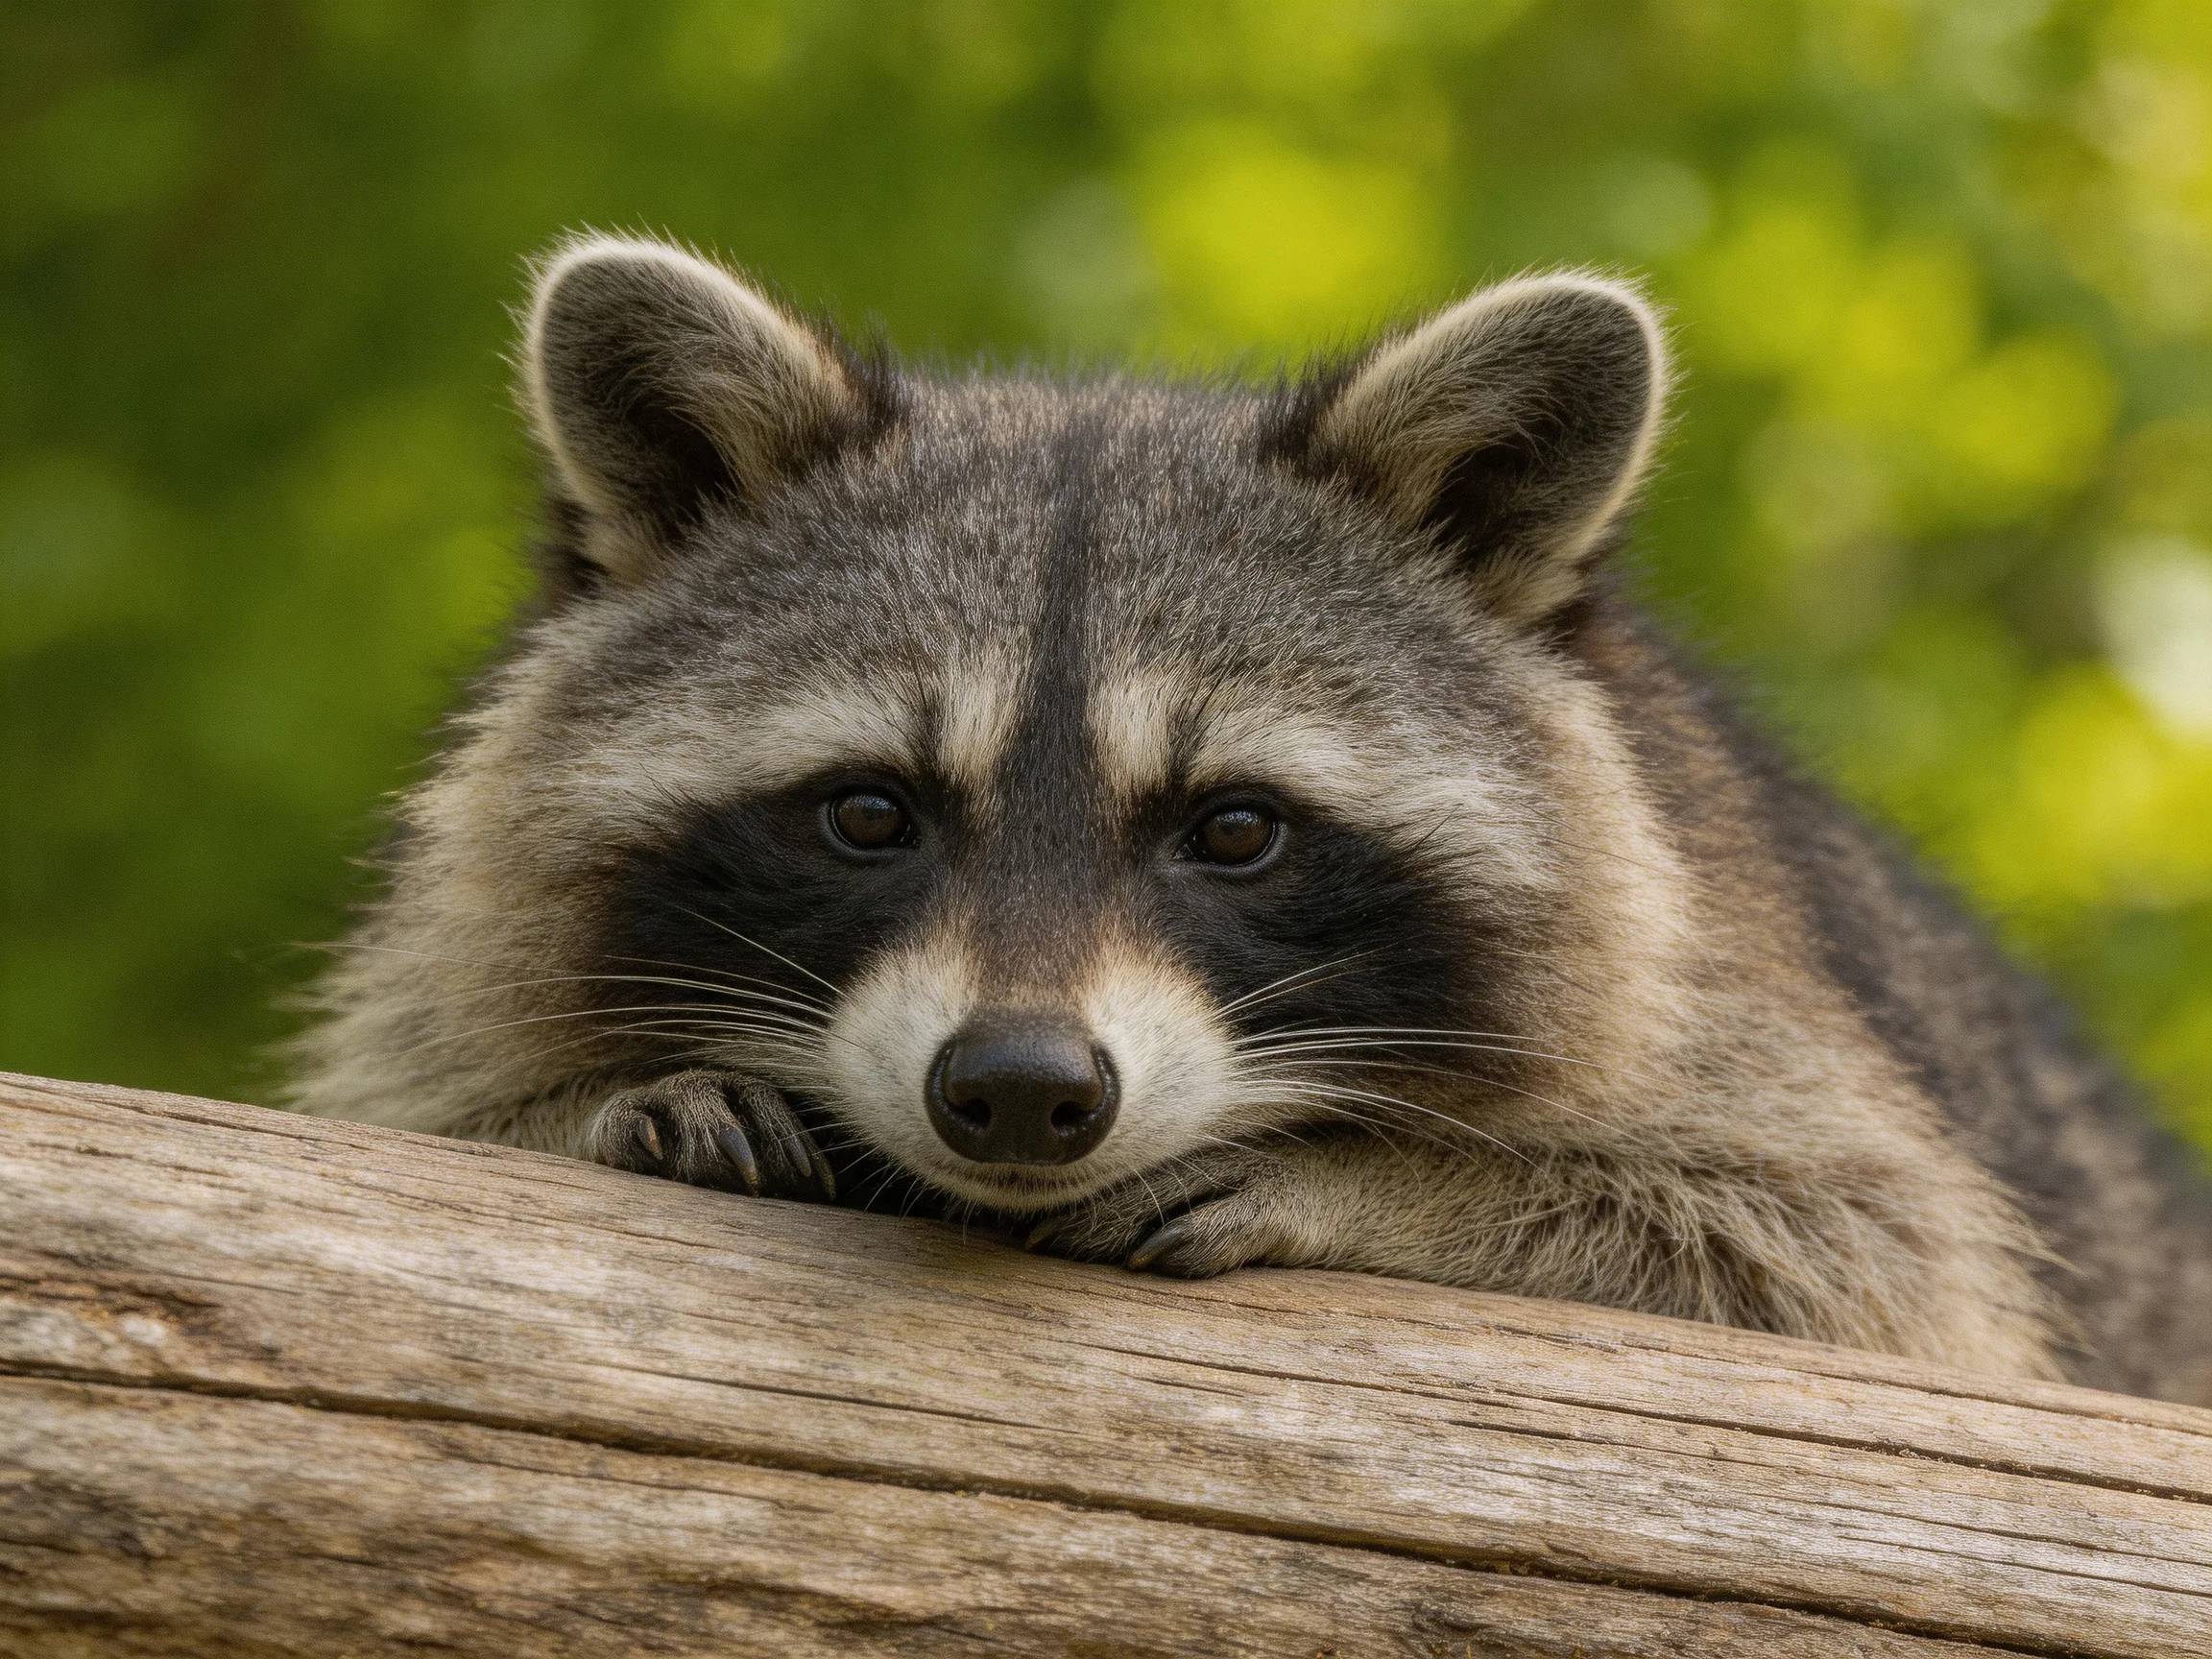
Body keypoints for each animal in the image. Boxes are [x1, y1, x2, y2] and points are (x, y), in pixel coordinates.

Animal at [290, 233, 2212, 1405]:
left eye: (1230, 830)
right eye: (868, 813)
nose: (1020, 1088)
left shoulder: (1757, 1022)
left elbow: (1854, 1261)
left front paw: (1377, 1180)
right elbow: (416, 1114)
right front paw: (595, 1099)